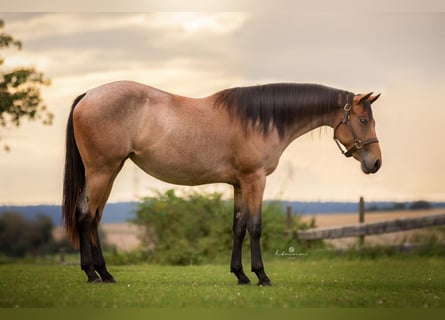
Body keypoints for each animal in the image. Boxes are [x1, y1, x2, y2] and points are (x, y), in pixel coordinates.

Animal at [63, 82, 382, 284]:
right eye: (363, 121)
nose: (376, 163)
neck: (260, 120)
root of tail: (88, 95)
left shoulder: (239, 183)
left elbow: (238, 227)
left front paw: (240, 275)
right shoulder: (255, 179)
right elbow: (255, 226)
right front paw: (262, 276)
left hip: (110, 172)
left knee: (94, 218)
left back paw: (105, 273)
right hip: (101, 171)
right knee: (85, 215)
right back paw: (91, 274)